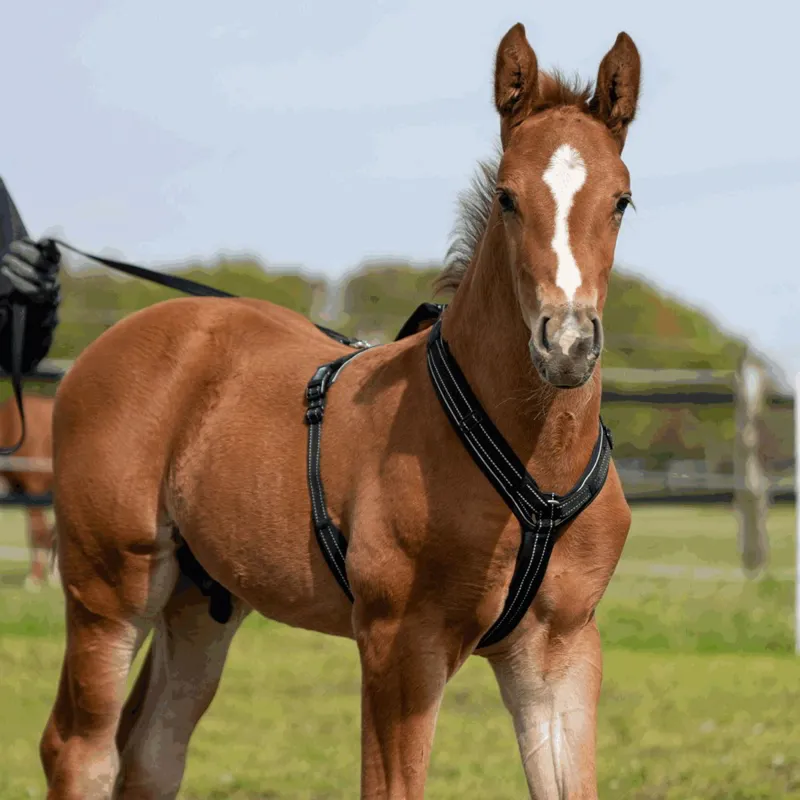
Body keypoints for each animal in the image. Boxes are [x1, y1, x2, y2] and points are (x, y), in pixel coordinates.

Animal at [41, 23, 641, 799]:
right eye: (508, 197)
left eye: (621, 199)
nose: (566, 343)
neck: (534, 468)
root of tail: (105, 348)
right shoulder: (398, 644)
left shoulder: (560, 650)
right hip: (110, 588)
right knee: (81, 751)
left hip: (201, 603)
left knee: (150, 754)